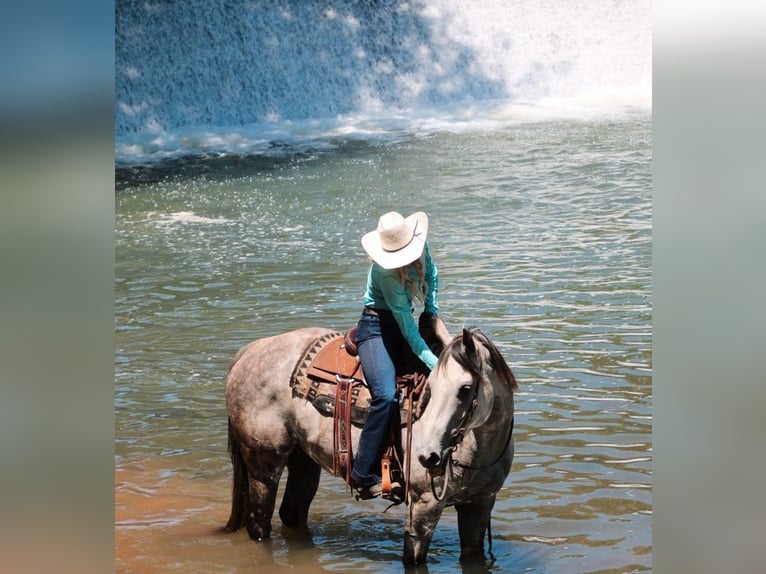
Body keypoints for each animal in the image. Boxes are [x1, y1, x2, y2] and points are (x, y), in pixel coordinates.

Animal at [223, 323, 518, 566]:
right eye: (431, 388)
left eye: (466, 389)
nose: (429, 456)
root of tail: (251, 350)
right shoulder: (422, 507)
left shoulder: (479, 505)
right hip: (263, 465)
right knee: (259, 523)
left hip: (304, 463)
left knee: (292, 514)